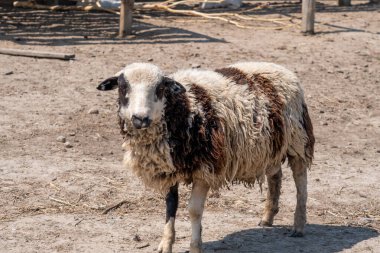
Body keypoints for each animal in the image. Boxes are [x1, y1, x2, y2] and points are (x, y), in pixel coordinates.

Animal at [96, 62, 314, 253]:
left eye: (160, 88)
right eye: (123, 87)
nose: (140, 119)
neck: (184, 108)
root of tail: (281, 68)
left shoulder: (205, 169)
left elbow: (194, 210)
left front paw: (195, 246)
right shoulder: (169, 169)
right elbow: (170, 206)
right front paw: (166, 244)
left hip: (298, 140)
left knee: (300, 181)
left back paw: (298, 225)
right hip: (270, 146)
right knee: (275, 175)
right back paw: (267, 217)